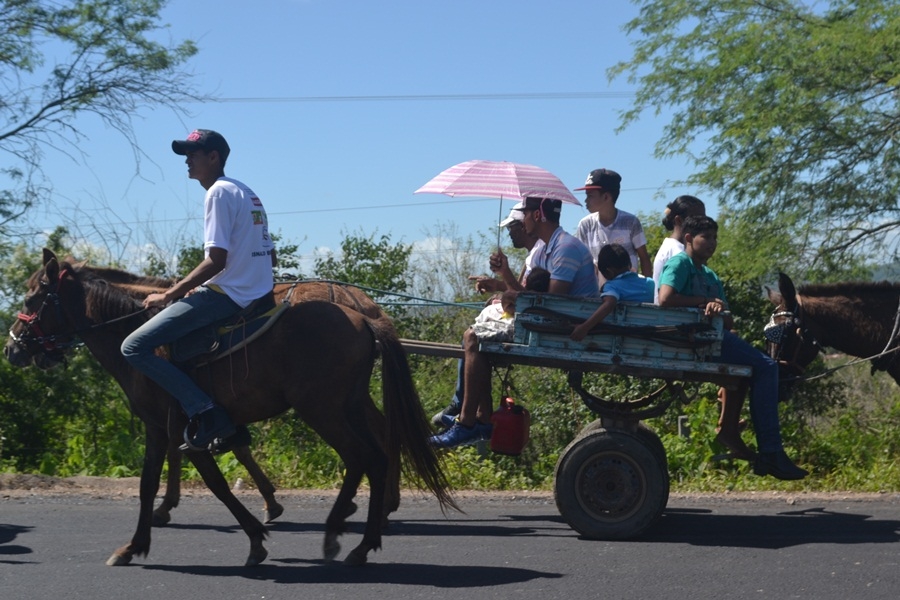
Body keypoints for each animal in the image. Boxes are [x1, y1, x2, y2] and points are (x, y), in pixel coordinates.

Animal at [5, 250, 458, 568]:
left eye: (31, 296)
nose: (13, 347)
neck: (134, 331)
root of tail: (363, 315)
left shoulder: (182, 424)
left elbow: (214, 482)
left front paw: (256, 534)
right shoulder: (171, 427)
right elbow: (152, 482)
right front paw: (136, 544)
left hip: (323, 410)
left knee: (363, 456)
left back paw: (345, 533)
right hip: (350, 404)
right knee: (379, 450)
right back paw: (366, 534)